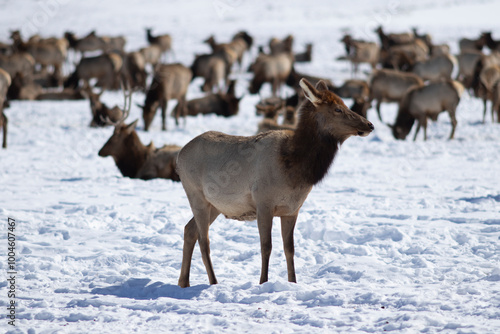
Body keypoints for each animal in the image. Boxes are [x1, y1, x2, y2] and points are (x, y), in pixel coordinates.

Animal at [176, 78, 376, 288]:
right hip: (195, 194)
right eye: (337, 109)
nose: (370, 125)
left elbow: (290, 248)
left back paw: (184, 281)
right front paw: (263, 281)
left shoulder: (291, 210)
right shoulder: (263, 203)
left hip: (215, 204)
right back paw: (213, 282)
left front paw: (293, 282)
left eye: (346, 104)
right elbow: (266, 246)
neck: (294, 169)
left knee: (189, 230)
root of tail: (179, 155)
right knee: (203, 240)